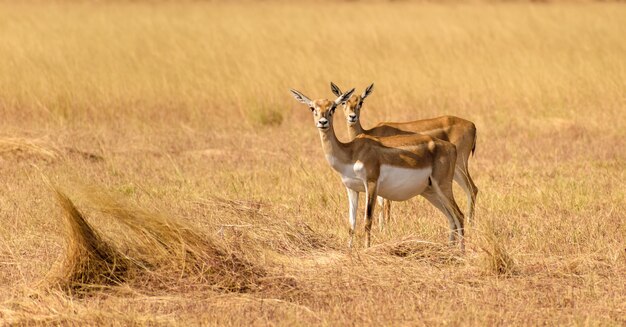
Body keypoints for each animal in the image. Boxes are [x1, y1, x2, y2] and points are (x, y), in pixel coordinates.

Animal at [288, 88, 464, 250]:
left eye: (332, 108)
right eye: (312, 108)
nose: (323, 122)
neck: (351, 152)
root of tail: (451, 147)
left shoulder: (371, 184)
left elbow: (367, 220)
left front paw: (366, 249)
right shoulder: (351, 188)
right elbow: (351, 225)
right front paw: (350, 250)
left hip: (442, 186)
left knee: (459, 215)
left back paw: (461, 253)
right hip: (429, 192)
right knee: (451, 218)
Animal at [330, 83, 476, 229]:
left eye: (361, 102)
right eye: (344, 102)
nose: (352, 117)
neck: (370, 133)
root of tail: (472, 125)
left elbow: (386, 202)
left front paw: (385, 229)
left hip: (459, 167)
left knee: (471, 189)